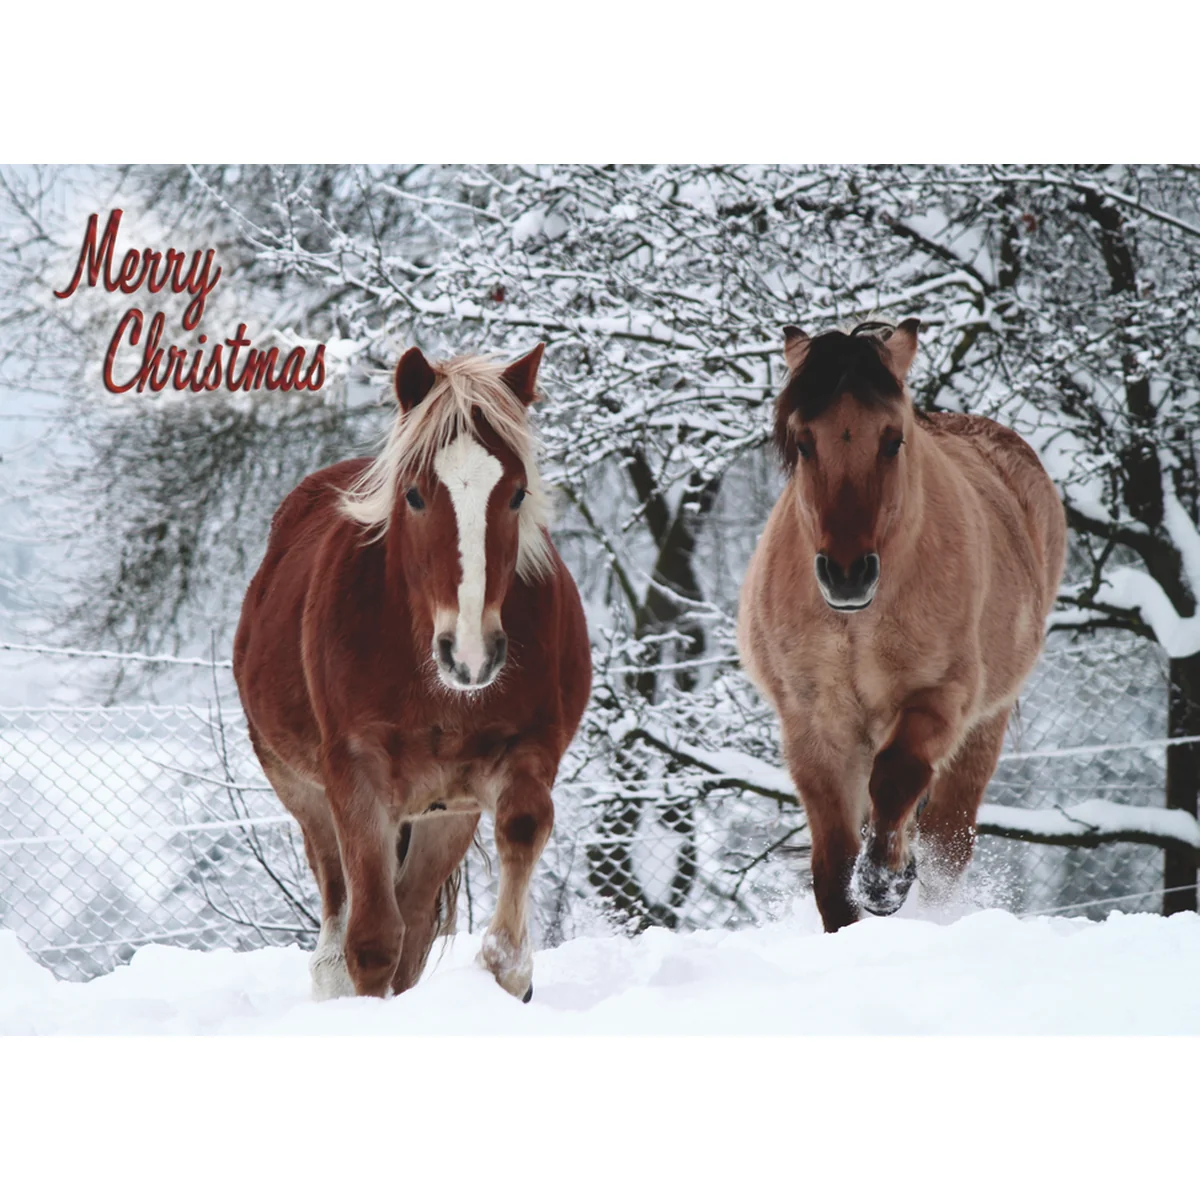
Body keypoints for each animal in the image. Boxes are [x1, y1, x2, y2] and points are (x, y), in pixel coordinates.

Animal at [233, 344, 591, 1001]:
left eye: (517, 493)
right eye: (416, 495)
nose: (470, 655)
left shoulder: (524, 756)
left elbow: (520, 837)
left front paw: (511, 973)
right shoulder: (355, 778)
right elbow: (371, 942)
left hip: (444, 817)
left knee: (416, 925)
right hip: (305, 794)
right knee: (341, 923)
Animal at [737, 319, 1066, 932]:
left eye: (893, 439)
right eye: (803, 442)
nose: (846, 574)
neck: (857, 623)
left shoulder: (937, 698)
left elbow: (895, 780)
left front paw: (885, 880)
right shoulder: (811, 726)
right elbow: (831, 867)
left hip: (982, 730)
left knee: (946, 843)